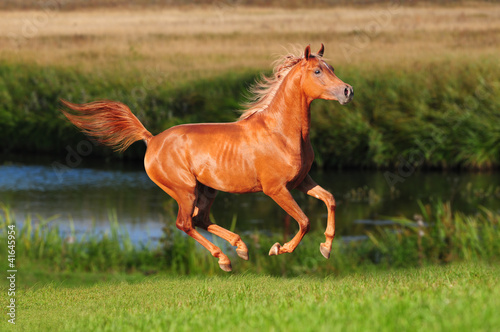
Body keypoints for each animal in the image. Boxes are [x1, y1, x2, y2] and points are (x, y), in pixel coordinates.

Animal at [61, 44, 352, 272]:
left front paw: (326, 247)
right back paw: (225, 259)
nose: (348, 91)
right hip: (185, 190)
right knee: (185, 223)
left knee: (200, 219)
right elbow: (304, 221)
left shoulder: (301, 181)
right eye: (317, 71)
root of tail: (152, 139)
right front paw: (278, 249)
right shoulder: (275, 189)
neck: (281, 132)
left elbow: (330, 199)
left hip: (207, 189)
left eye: (332, 67)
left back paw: (240, 248)